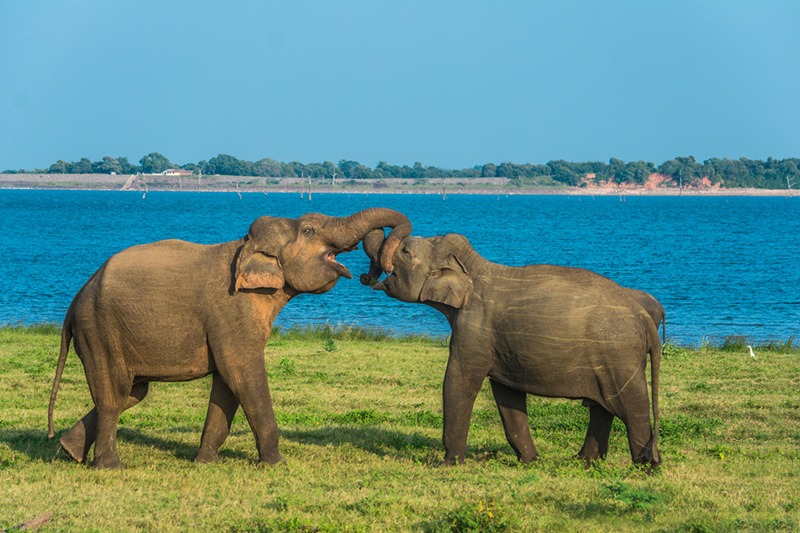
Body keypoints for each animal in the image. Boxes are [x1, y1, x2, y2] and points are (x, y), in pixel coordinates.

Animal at [48, 207, 412, 466]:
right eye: (308, 230)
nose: (370, 274)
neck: (244, 246)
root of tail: (74, 303)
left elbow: (227, 384)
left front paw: (205, 463)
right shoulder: (232, 312)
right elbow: (243, 374)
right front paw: (276, 465)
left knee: (131, 392)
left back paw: (68, 451)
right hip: (99, 331)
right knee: (114, 394)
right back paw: (109, 466)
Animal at [362, 231, 664, 468]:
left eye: (405, 250)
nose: (368, 276)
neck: (473, 267)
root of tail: (645, 319)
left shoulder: (474, 328)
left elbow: (459, 382)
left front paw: (446, 464)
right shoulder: (502, 345)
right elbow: (507, 395)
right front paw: (531, 461)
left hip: (618, 356)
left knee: (631, 407)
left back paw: (645, 468)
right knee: (602, 408)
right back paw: (582, 462)